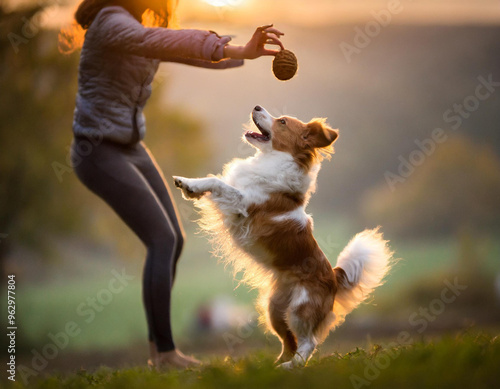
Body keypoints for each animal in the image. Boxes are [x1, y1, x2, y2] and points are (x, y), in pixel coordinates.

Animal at [175, 105, 394, 366]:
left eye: (282, 122)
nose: (257, 106)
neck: (272, 161)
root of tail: (333, 276)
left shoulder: (242, 203)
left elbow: (217, 182)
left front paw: (191, 186)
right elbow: (215, 180)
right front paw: (188, 185)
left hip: (300, 309)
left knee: (308, 342)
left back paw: (292, 367)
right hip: (274, 310)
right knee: (289, 341)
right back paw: (275, 365)